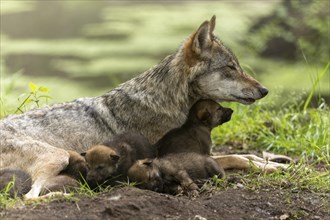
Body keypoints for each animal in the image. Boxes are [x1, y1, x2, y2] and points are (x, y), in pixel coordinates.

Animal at [0, 15, 274, 198]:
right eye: (230, 68)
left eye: (238, 66)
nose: (265, 90)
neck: (170, 103)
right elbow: (238, 157)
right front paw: (270, 166)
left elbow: (246, 155)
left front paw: (275, 162)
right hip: (57, 156)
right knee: (29, 197)